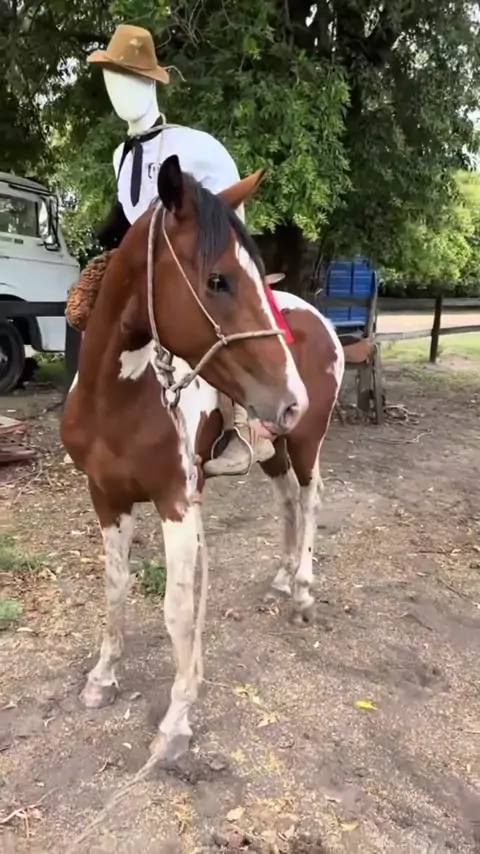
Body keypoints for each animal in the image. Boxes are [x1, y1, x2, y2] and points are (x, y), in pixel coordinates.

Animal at [61, 155, 344, 762]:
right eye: (218, 279)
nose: (292, 399)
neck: (118, 398)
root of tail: (323, 321)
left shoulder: (176, 501)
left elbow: (178, 609)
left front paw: (178, 719)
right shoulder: (106, 496)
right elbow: (115, 586)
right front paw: (102, 678)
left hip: (304, 442)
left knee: (310, 499)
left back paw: (303, 590)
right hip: (272, 445)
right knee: (287, 501)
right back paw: (283, 578)